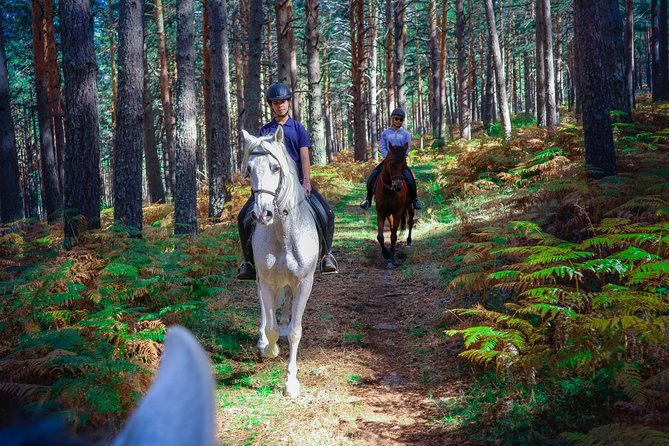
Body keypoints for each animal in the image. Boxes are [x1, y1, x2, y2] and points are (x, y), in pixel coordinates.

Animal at [241, 127, 319, 397]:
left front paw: (291, 382)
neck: (283, 232)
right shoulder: (266, 281)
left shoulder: (304, 283)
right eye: (249, 169)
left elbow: (296, 331)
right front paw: (270, 348)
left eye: (276, 168)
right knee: (266, 309)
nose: (262, 213)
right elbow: (270, 326)